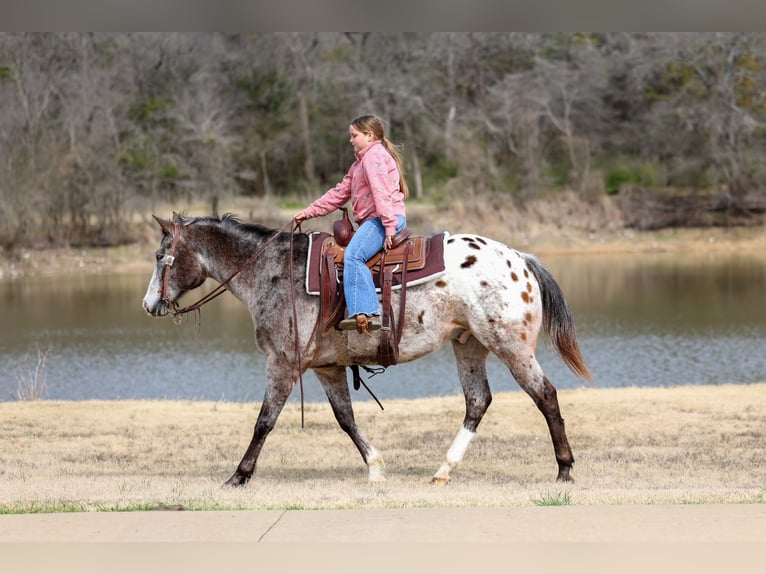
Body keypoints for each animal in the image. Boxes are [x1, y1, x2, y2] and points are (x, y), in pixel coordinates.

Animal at [142, 213, 591, 487]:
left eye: (162, 256)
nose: (149, 305)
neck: (272, 272)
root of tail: (520, 259)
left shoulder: (282, 363)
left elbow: (264, 422)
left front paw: (239, 475)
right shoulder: (326, 368)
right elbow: (345, 419)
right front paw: (375, 467)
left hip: (510, 346)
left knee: (545, 396)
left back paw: (565, 469)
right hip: (469, 346)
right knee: (478, 402)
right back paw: (443, 470)